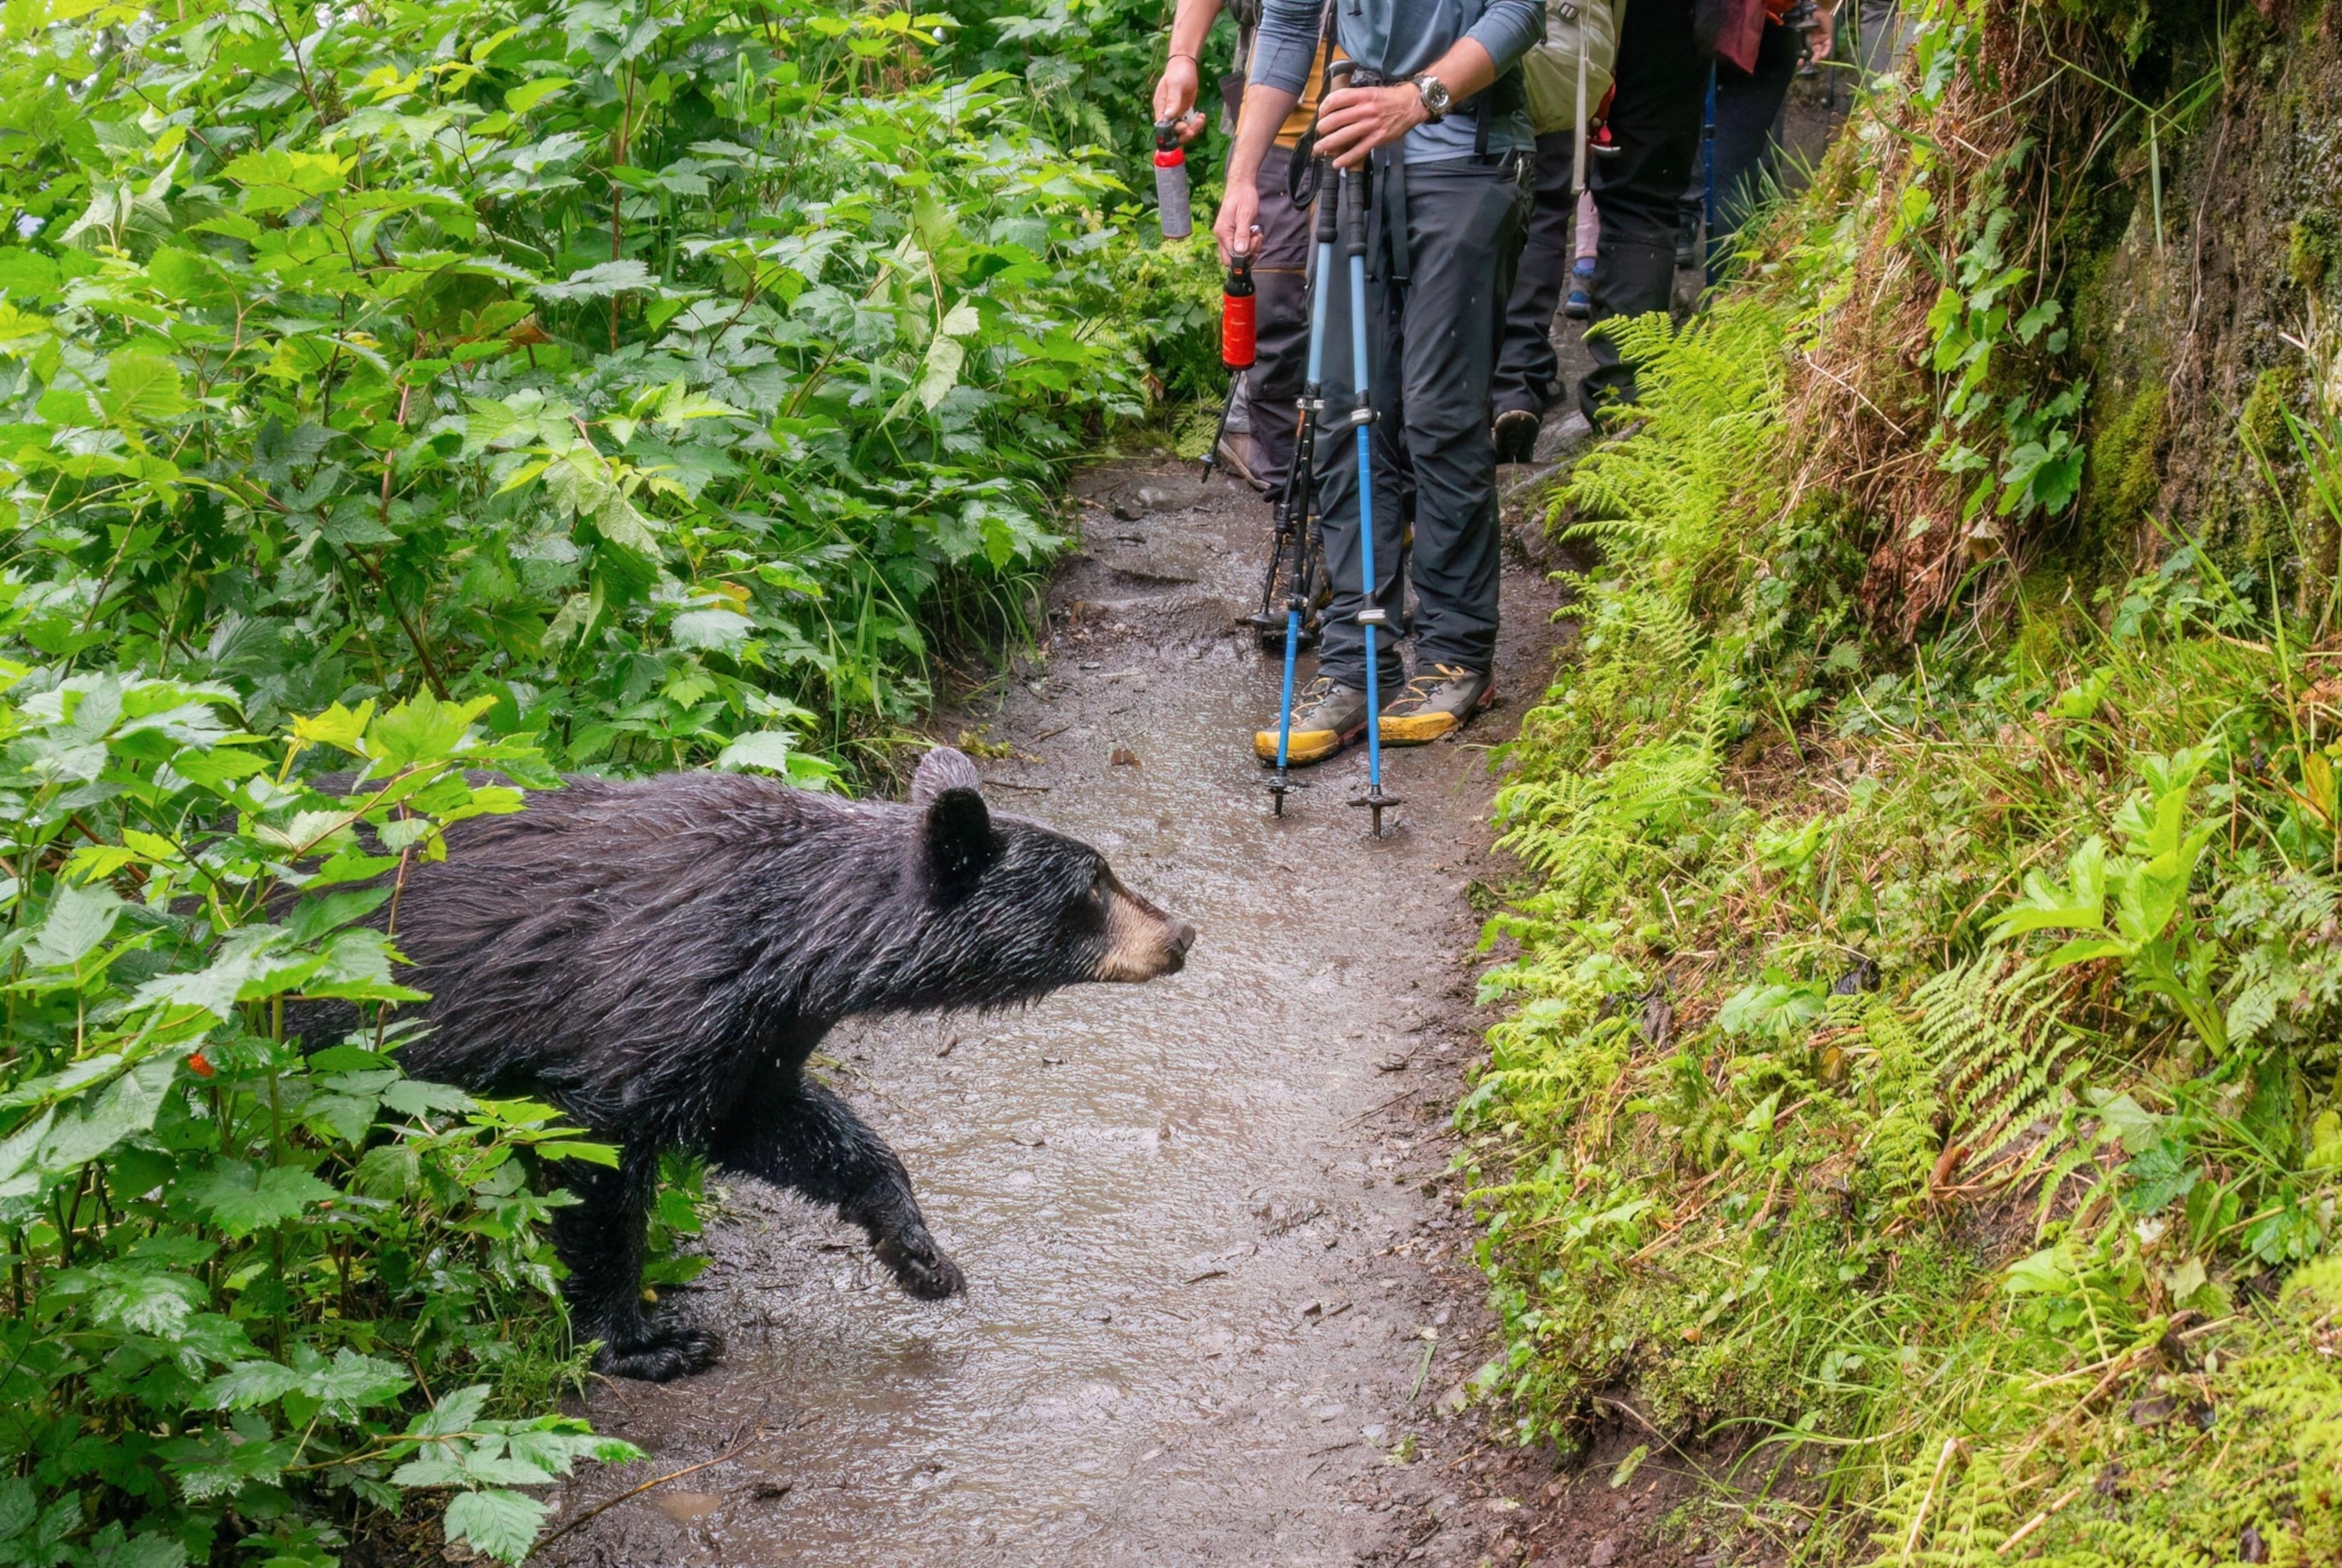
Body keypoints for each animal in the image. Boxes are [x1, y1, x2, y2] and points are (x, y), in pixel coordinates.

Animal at [339, 746, 1194, 1381]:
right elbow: (599, 1153)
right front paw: (644, 1341)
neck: (785, 933)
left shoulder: (753, 1031)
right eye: (1093, 881)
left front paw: (920, 1254)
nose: (1182, 932)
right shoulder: (659, 994)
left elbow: (786, 1126)